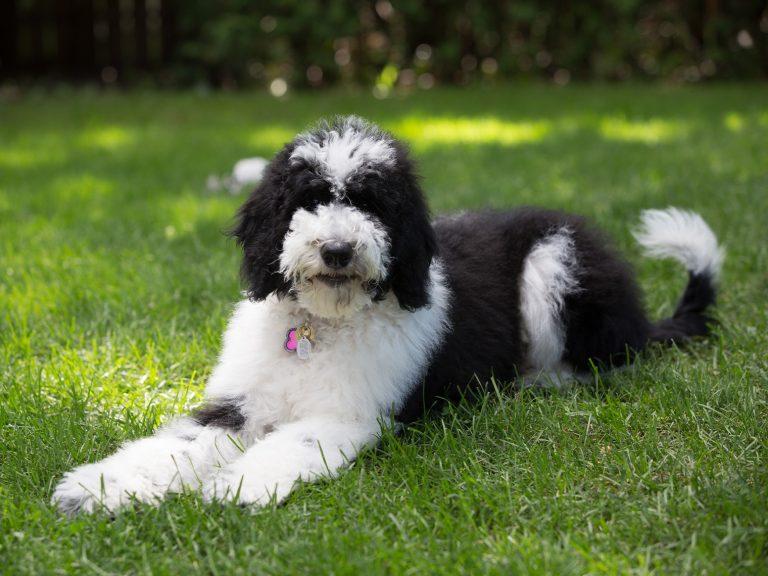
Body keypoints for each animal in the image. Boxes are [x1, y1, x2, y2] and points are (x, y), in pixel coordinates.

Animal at [52, 113, 720, 512]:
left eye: (373, 205)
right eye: (308, 199)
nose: (338, 249)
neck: (322, 326)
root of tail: (641, 313)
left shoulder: (350, 415)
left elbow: (293, 442)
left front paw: (238, 484)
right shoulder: (240, 403)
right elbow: (180, 443)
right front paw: (99, 486)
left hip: (554, 263)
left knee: (606, 359)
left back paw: (531, 383)